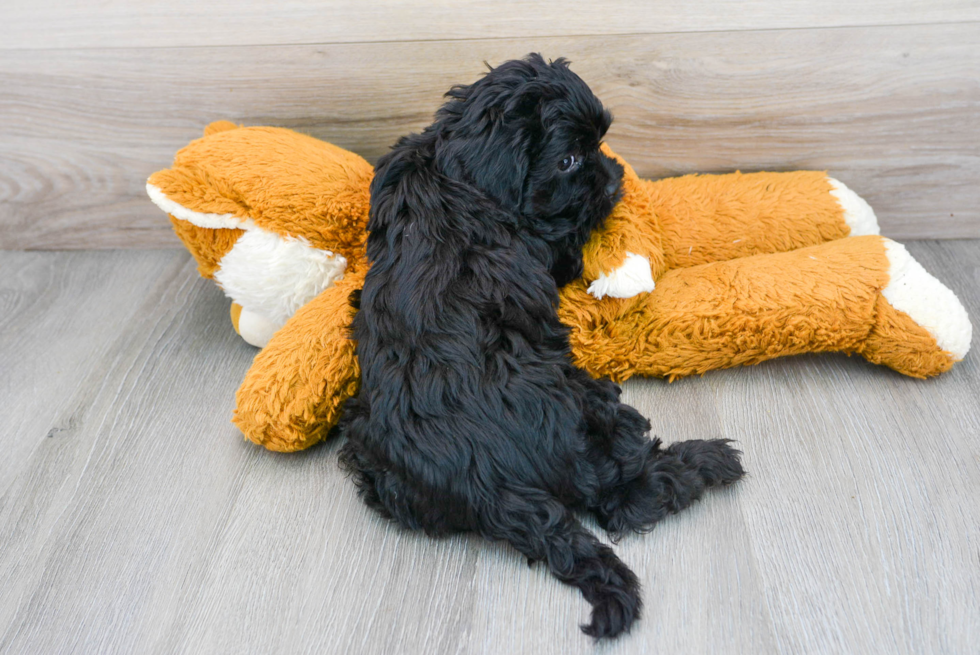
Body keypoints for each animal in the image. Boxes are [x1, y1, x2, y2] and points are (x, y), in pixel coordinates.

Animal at [336, 53, 744, 640]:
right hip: (590, 407)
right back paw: (711, 460)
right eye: (570, 159)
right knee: (626, 496)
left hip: (373, 455)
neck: (452, 169)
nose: (614, 179)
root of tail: (485, 480)